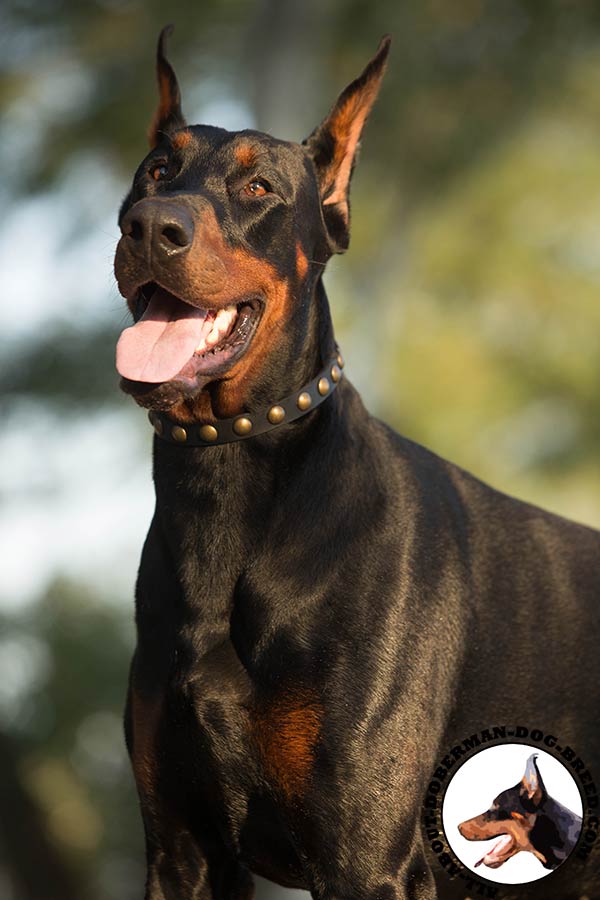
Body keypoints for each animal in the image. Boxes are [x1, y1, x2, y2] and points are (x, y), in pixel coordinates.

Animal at [113, 26, 600, 900]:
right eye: (157, 170)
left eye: (260, 186)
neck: (225, 493)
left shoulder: (365, 853)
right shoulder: (181, 852)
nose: (149, 227)